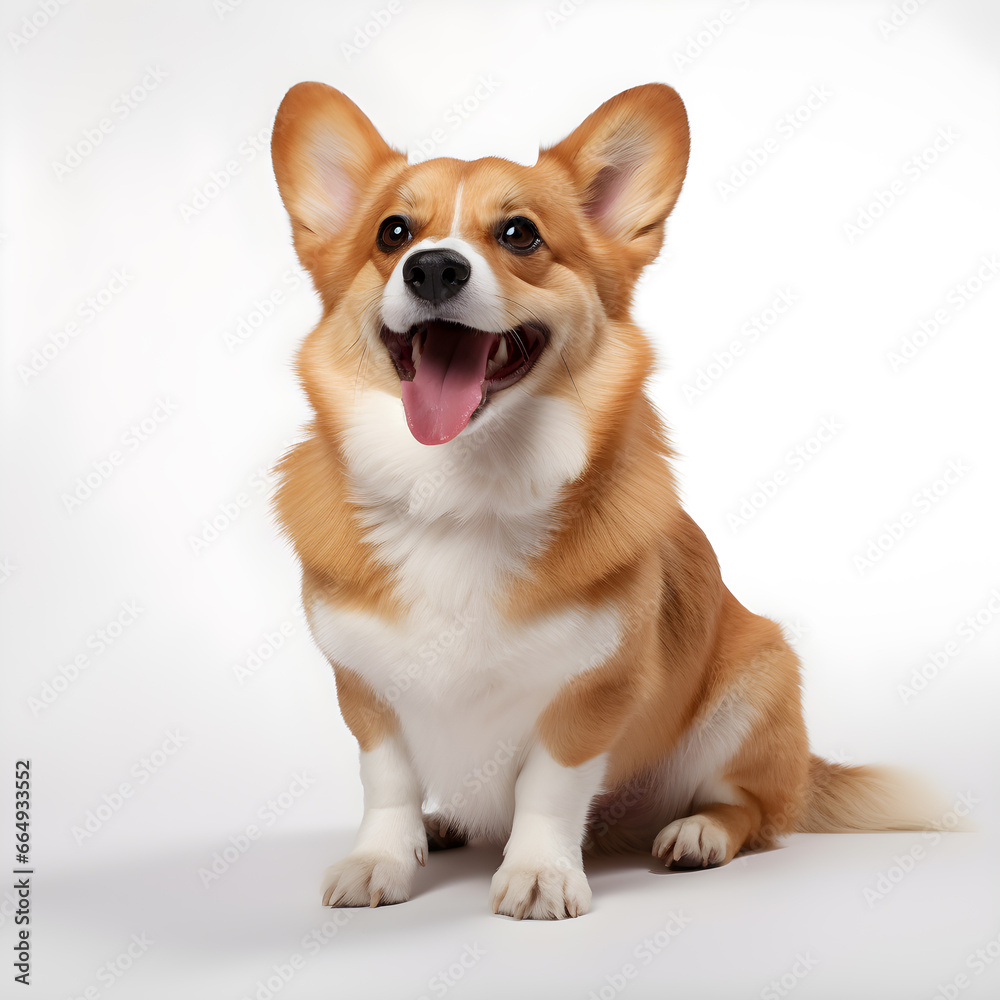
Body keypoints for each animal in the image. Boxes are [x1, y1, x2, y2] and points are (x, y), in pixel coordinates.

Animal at [268, 82, 936, 916]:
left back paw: (698, 833)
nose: (433, 269)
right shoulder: (366, 692)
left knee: (750, 808)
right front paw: (381, 860)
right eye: (393, 233)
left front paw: (539, 874)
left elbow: (549, 789)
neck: (461, 490)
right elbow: (387, 784)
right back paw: (444, 823)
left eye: (520, 234)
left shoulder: (592, 695)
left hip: (755, 680)